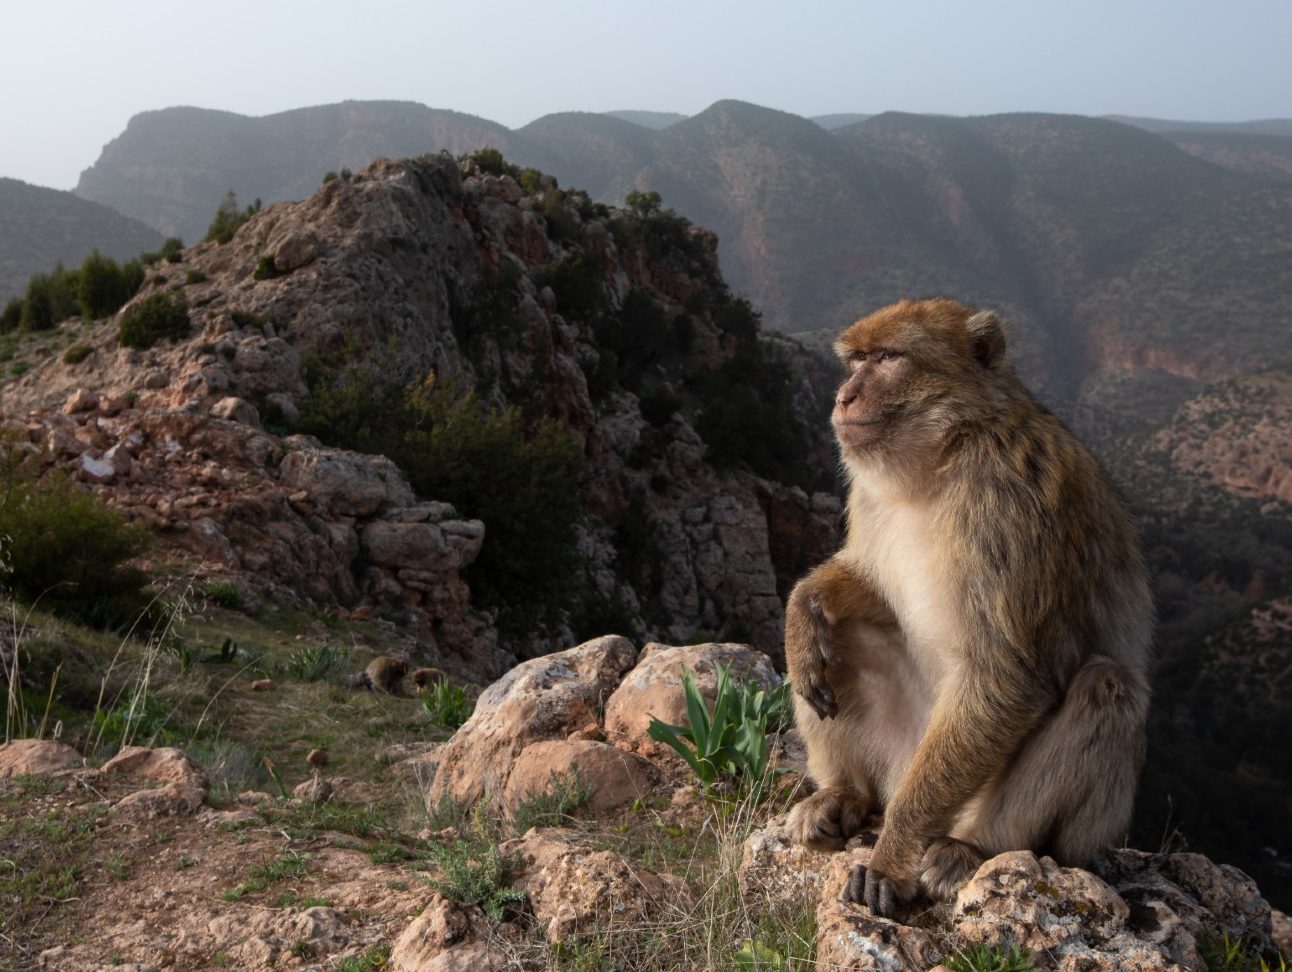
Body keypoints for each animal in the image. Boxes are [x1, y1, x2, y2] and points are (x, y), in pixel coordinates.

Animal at [780, 299, 1157, 915]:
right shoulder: (870, 490)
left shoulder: (1007, 502)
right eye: (856, 359)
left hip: (1011, 805)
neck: (945, 451)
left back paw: (972, 848)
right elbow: (869, 586)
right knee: (845, 636)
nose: (843, 397)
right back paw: (844, 793)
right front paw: (802, 612)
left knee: (1108, 686)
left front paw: (890, 857)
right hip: (902, 752)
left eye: (888, 358)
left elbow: (1007, 676)